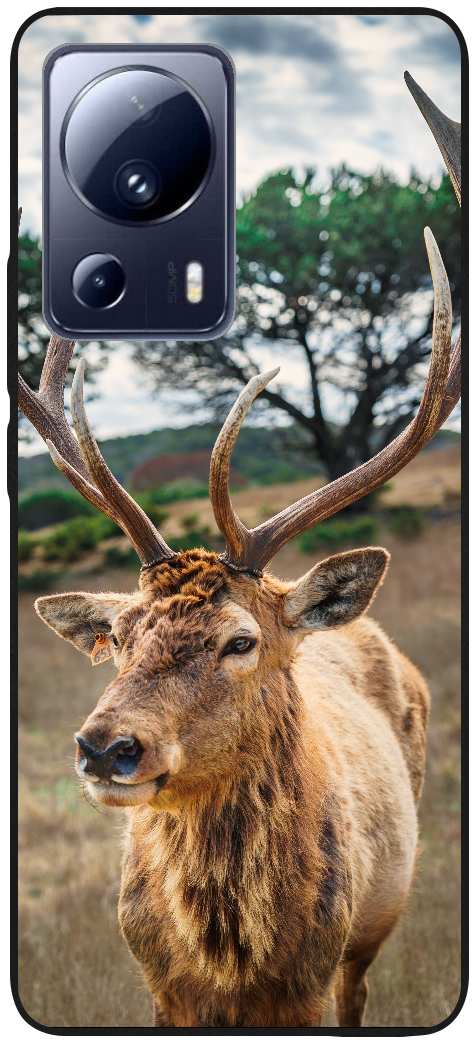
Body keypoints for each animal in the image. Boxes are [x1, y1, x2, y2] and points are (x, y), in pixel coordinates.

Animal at [19, 74, 461, 1028]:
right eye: (120, 636)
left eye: (240, 640)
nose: (106, 748)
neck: (232, 962)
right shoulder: (158, 987)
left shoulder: (317, 977)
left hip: (376, 928)